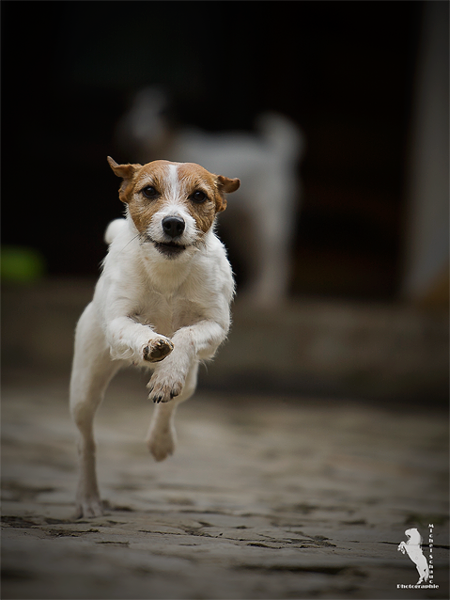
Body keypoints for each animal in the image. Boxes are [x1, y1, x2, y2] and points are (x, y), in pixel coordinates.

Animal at [116, 88, 306, 304]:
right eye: (133, 106)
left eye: (162, 112)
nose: (132, 133)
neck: (169, 145)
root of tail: (278, 153)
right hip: (245, 227)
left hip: (269, 220)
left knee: (276, 256)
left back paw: (268, 293)